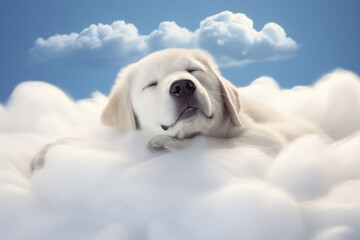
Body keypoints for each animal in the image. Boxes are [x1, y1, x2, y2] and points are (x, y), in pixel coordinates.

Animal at [101, 48, 318, 152]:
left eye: (193, 70)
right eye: (151, 84)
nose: (182, 86)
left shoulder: (265, 137)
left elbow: (211, 143)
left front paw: (170, 143)